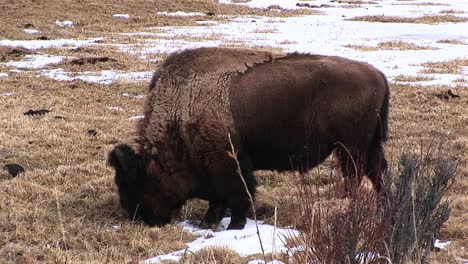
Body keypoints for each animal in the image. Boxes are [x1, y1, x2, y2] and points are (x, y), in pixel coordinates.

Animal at [108, 47, 390, 229]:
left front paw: (234, 225)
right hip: (369, 146)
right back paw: (383, 206)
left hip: (350, 148)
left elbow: (238, 194)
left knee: (355, 176)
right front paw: (209, 221)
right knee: (378, 172)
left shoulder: (228, 162)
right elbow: (219, 198)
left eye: (138, 181)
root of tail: (377, 74)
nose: (141, 218)